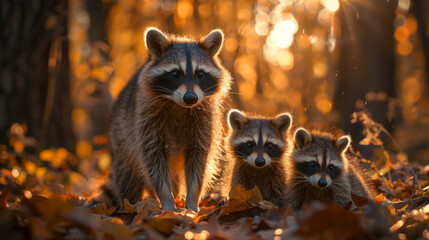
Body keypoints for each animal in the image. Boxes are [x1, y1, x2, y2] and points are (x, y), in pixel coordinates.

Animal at [102, 27, 231, 212]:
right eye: (175, 73)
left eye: (200, 74)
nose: (190, 98)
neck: (180, 106)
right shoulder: (146, 119)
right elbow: (153, 159)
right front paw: (167, 201)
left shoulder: (204, 120)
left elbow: (199, 160)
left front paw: (192, 201)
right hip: (120, 136)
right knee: (128, 176)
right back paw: (129, 205)